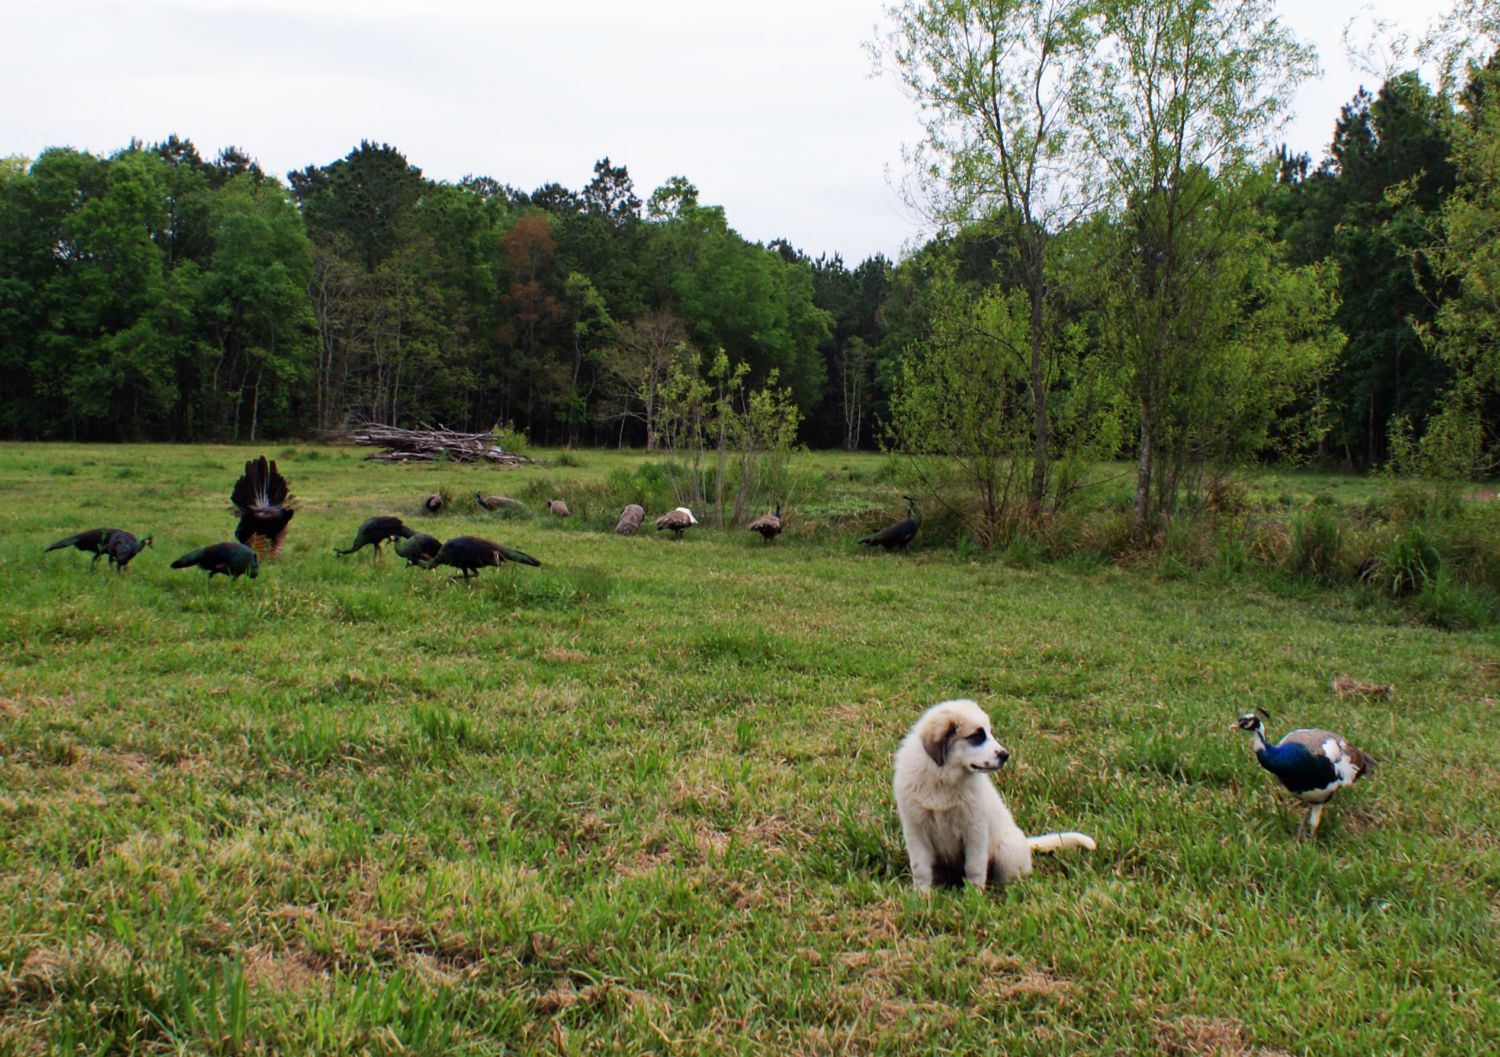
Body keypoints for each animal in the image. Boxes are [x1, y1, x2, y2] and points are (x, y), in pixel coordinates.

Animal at [893, 699, 1095, 891]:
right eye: (976, 736)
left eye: (989, 732)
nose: (1005, 755)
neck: (943, 778)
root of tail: (1025, 842)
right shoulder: (915, 830)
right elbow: (921, 868)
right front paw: (922, 895)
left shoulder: (975, 829)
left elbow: (974, 867)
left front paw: (974, 895)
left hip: (1006, 850)